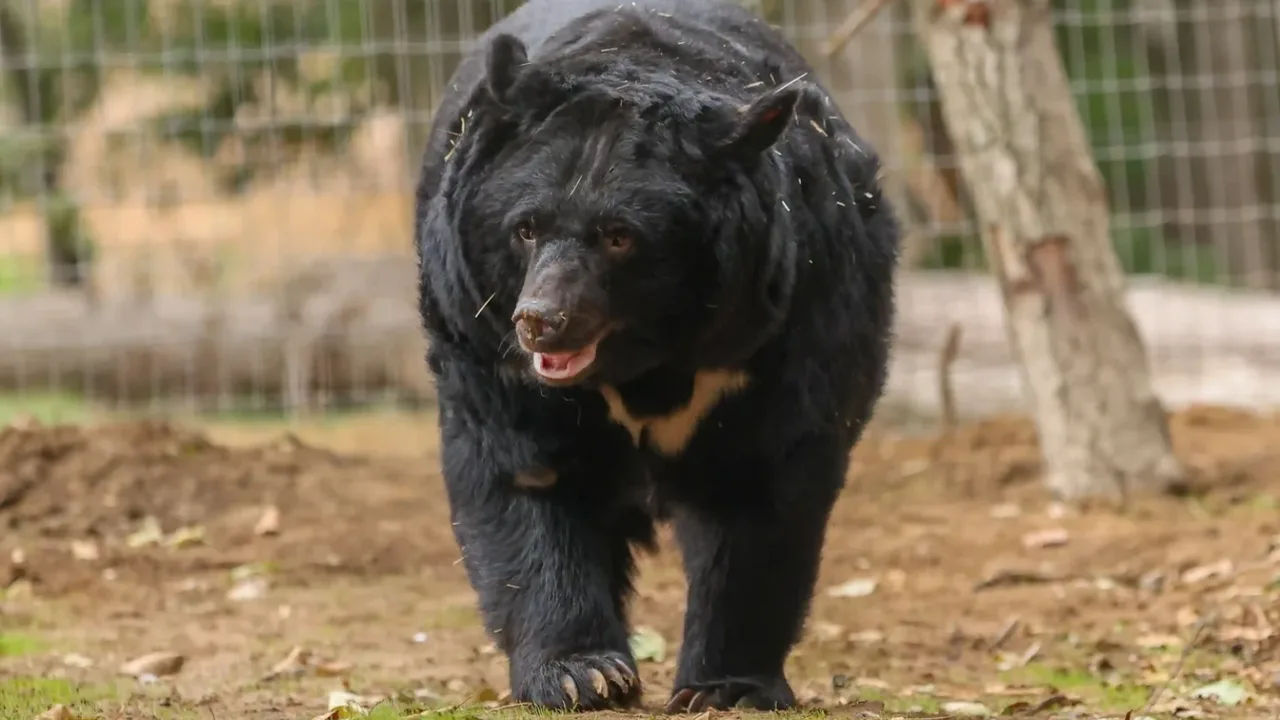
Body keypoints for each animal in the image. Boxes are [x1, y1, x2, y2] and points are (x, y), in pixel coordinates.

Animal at [414, 0, 900, 712]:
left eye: (620, 237)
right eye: (525, 227)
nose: (541, 323)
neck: (647, 363)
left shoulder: (788, 324)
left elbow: (761, 494)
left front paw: (726, 687)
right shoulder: (479, 330)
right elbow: (523, 476)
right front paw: (582, 674)